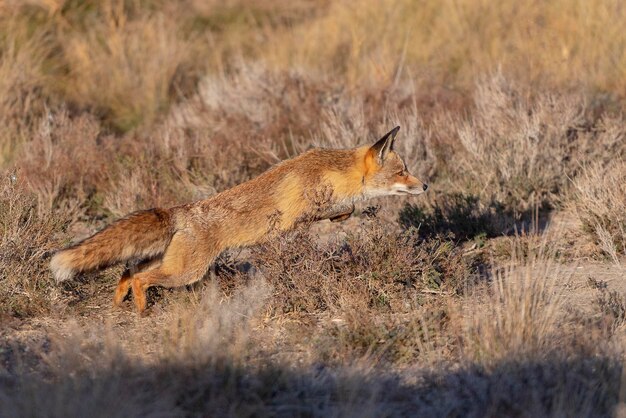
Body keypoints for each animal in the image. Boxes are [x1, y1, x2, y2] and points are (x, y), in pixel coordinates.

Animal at [51, 125, 426, 312]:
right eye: (403, 172)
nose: (425, 185)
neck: (336, 172)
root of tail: (182, 211)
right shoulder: (305, 211)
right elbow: (343, 209)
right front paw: (343, 215)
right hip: (185, 272)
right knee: (141, 278)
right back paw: (141, 310)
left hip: (171, 264)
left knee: (129, 272)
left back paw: (119, 304)